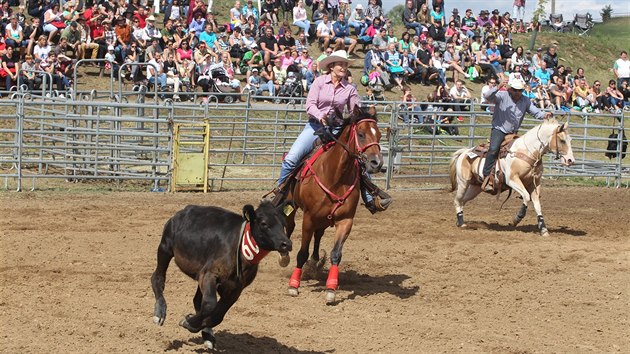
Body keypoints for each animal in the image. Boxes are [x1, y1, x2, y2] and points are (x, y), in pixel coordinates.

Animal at [282, 106, 386, 302]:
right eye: (361, 134)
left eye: (379, 135)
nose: (376, 163)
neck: (336, 175)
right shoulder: (308, 218)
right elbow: (301, 253)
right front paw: (293, 285)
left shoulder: (345, 221)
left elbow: (336, 253)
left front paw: (331, 289)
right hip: (292, 205)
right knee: (289, 225)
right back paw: (284, 256)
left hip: (323, 217)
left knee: (318, 234)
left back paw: (315, 262)